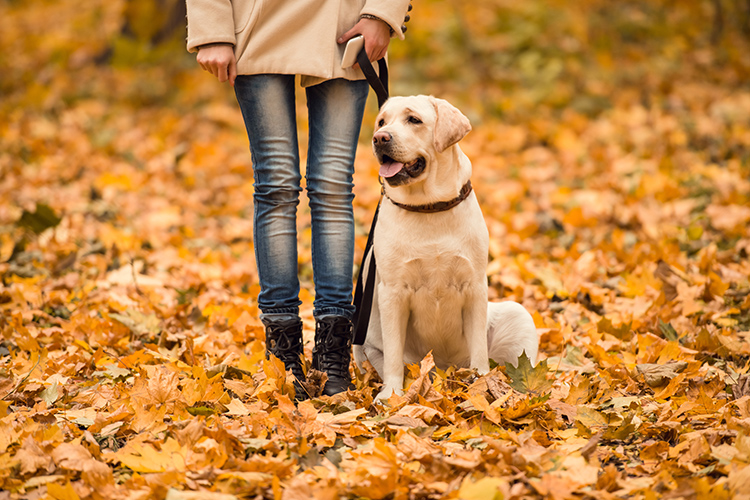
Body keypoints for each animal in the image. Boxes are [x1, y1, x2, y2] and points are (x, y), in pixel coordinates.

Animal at [354, 95, 540, 402]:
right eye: (382, 122)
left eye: (413, 120)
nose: (379, 138)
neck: (428, 207)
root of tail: (443, 372)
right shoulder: (392, 292)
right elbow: (393, 355)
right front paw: (391, 395)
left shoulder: (475, 286)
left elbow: (479, 350)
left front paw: (482, 385)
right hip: (361, 333)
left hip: (517, 316)